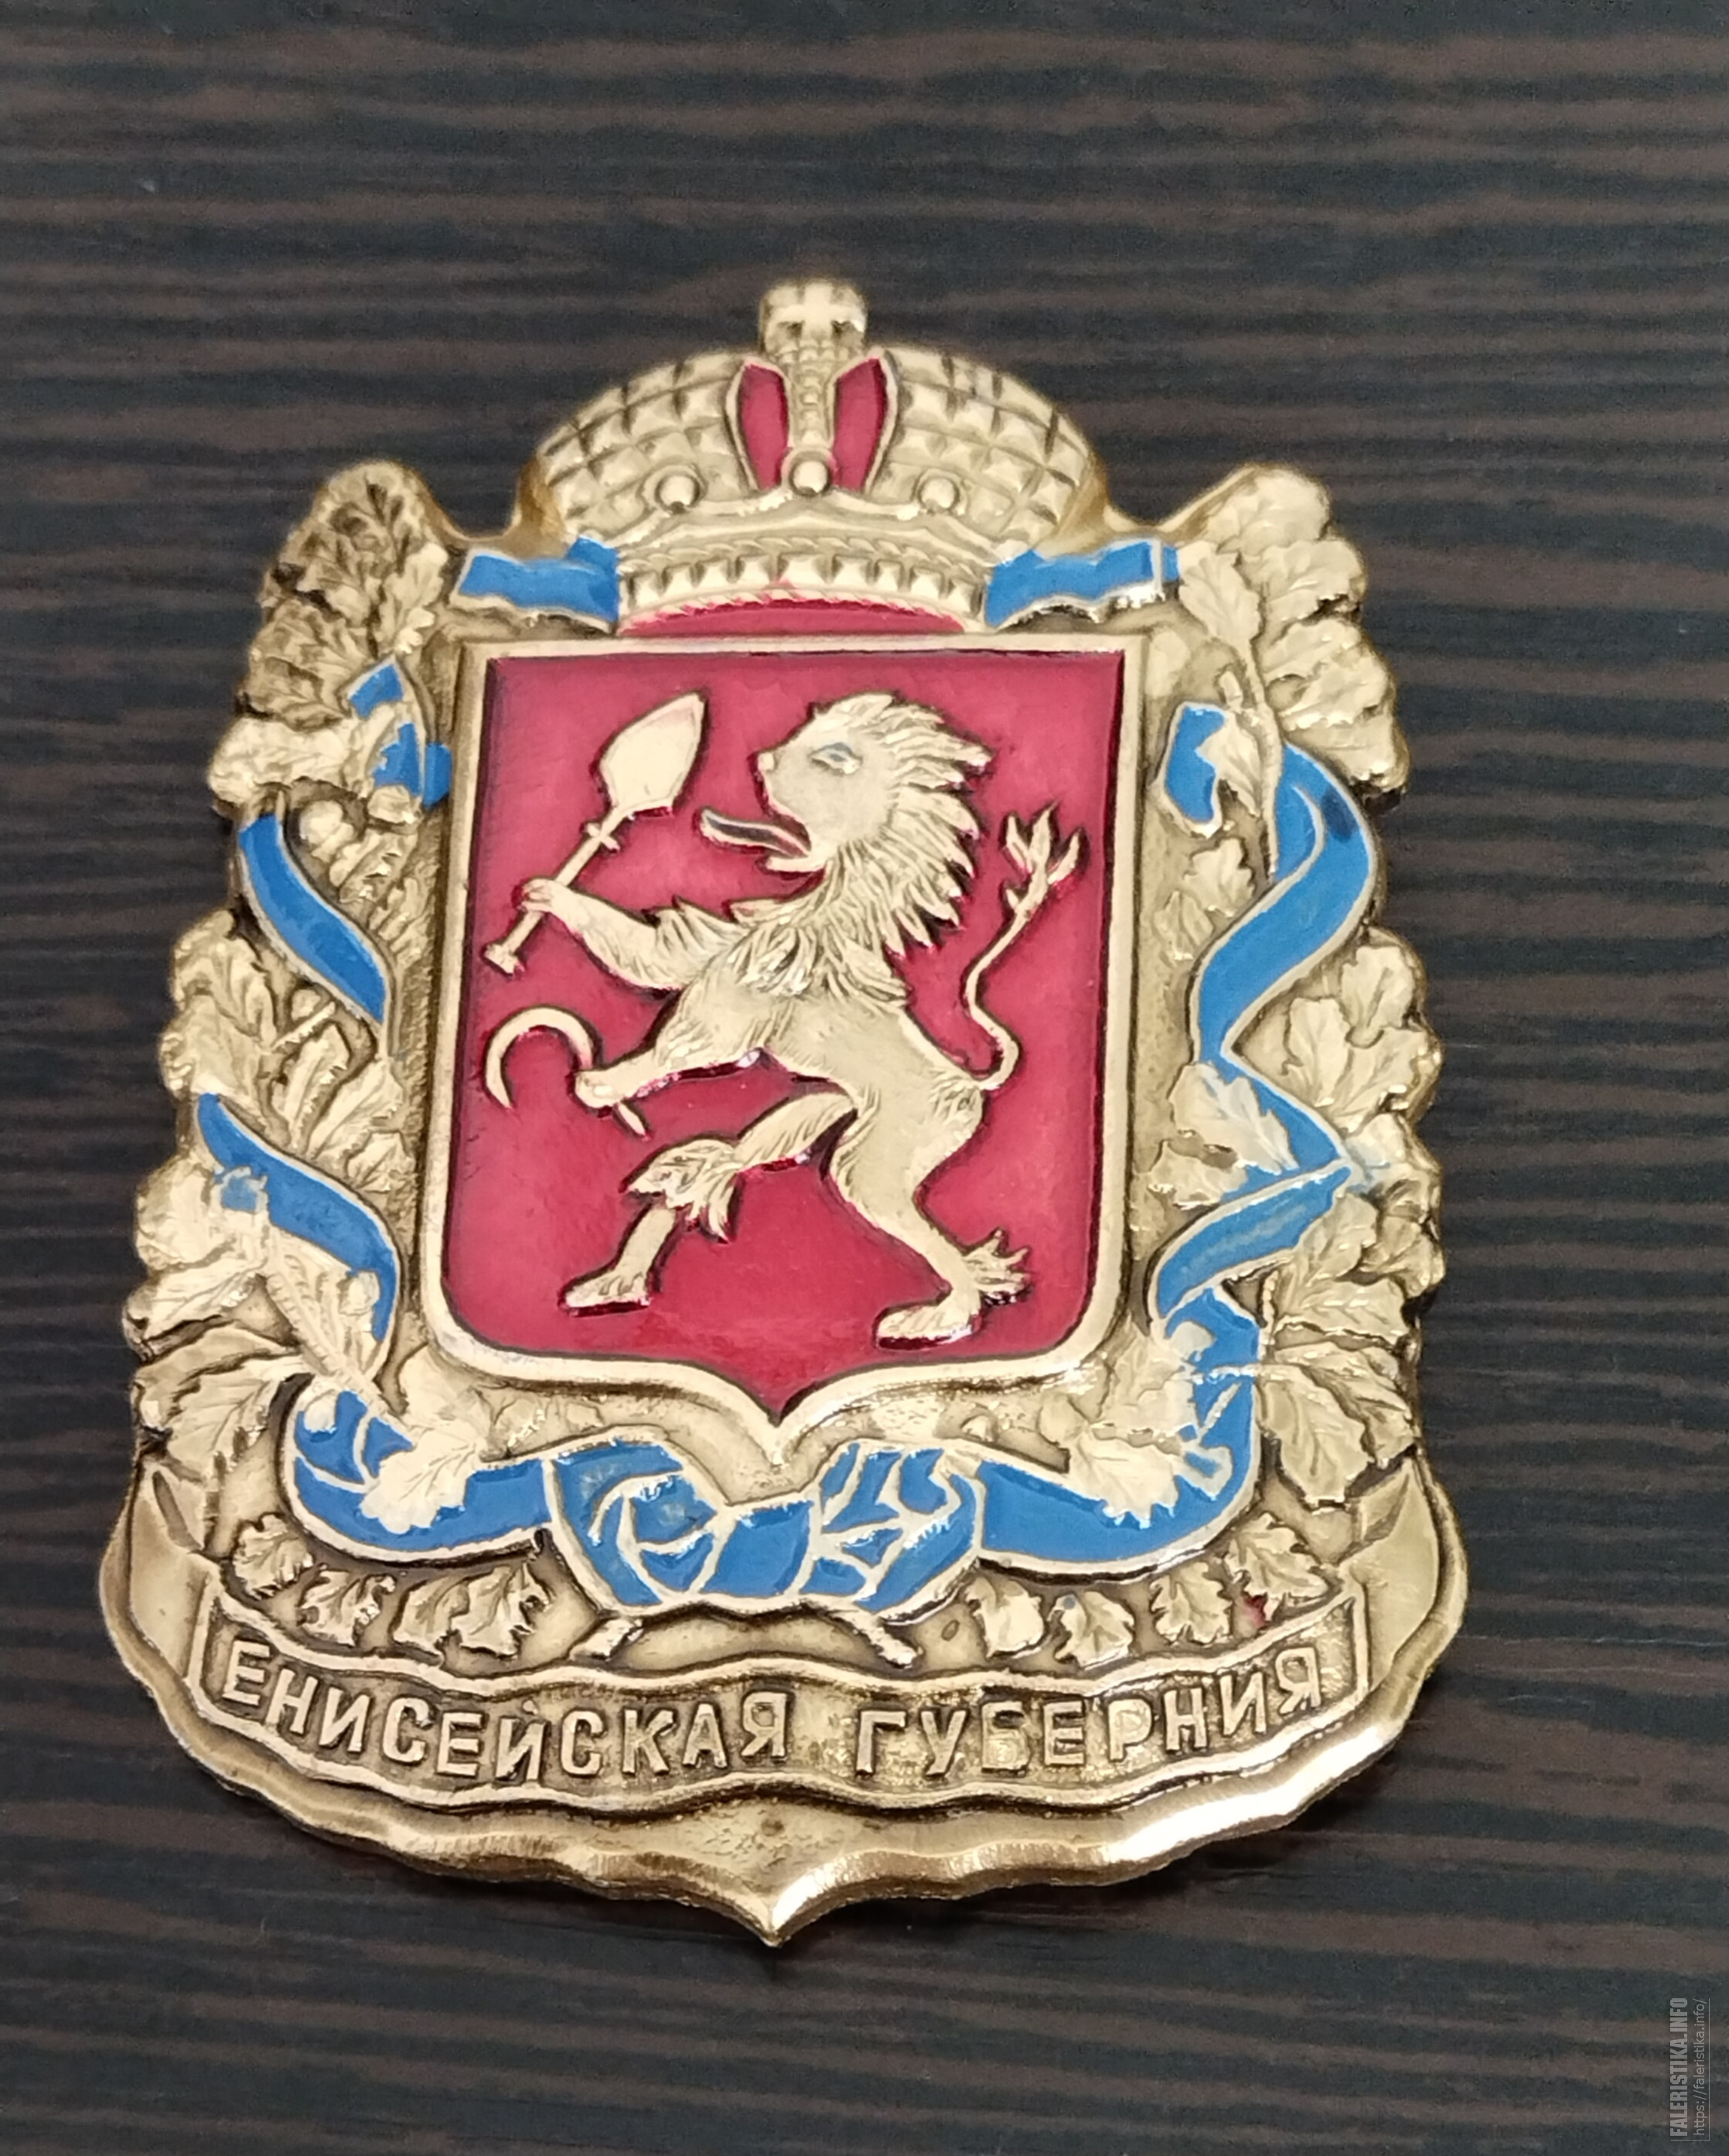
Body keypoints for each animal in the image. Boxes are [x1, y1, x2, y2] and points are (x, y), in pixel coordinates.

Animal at [518, 690, 1079, 1346]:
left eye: (834, 758)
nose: (761, 758)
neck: (821, 912)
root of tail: (970, 1082)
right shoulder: (705, 956)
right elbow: (646, 958)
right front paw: (549, 894)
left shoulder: (730, 1011)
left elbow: (680, 1047)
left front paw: (599, 1084)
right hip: (822, 1107)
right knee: (719, 1163)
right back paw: (614, 1285)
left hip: (878, 1157)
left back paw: (936, 1319)